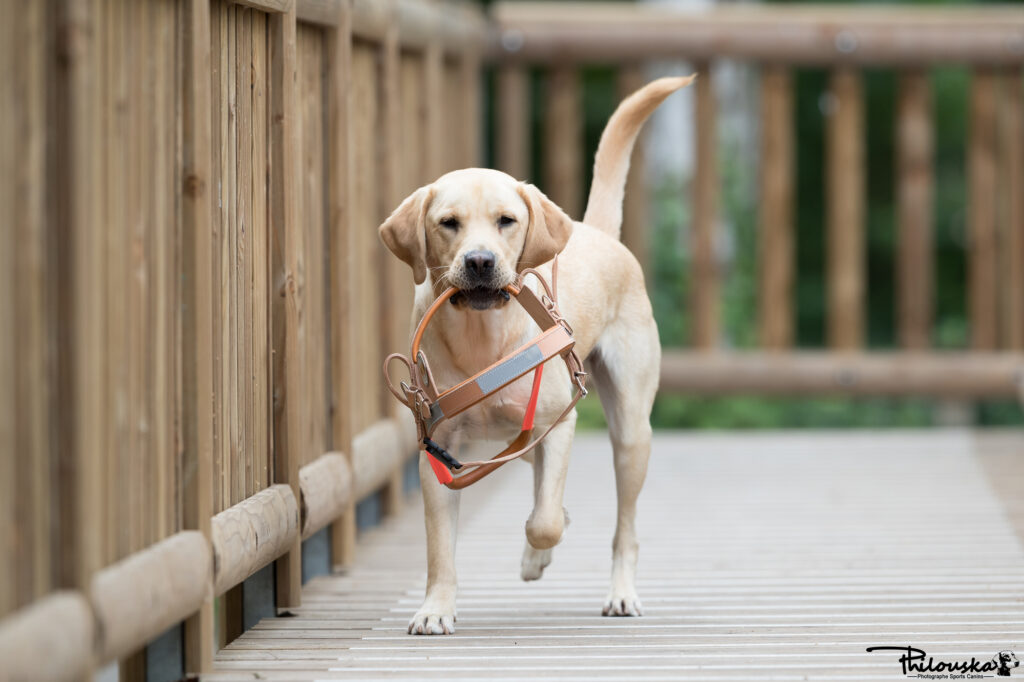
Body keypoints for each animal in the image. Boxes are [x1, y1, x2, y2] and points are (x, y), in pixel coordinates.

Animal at [380, 74, 692, 630]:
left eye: (506, 220)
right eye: (448, 222)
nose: (480, 262)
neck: (483, 341)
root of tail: (595, 231)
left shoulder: (559, 424)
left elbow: (544, 521)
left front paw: (537, 552)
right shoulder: (437, 452)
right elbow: (439, 548)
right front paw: (436, 609)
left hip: (630, 431)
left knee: (623, 526)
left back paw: (620, 592)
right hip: (522, 438)